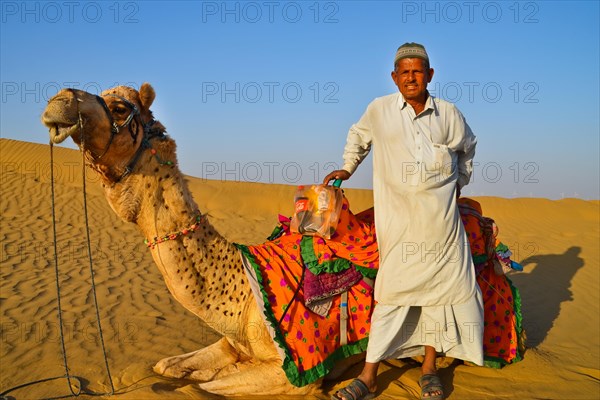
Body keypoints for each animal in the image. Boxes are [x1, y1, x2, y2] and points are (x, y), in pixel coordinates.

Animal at [41, 83, 356, 396]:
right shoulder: (230, 342)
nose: (61, 99)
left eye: (119, 108)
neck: (245, 294)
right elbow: (165, 366)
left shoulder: (298, 376)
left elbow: (204, 386)